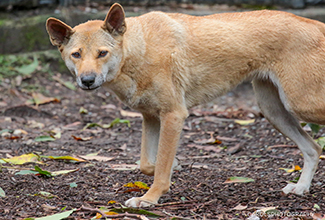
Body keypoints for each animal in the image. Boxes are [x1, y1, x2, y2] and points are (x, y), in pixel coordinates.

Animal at [46, 3, 322, 206]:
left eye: (102, 53)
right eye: (76, 54)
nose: (87, 80)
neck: (140, 51)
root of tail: (320, 25)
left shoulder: (173, 115)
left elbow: (160, 169)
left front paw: (149, 198)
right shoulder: (151, 117)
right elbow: (148, 164)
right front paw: (174, 166)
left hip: (300, 105)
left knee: (314, 144)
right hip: (274, 112)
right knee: (313, 149)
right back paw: (301, 188)